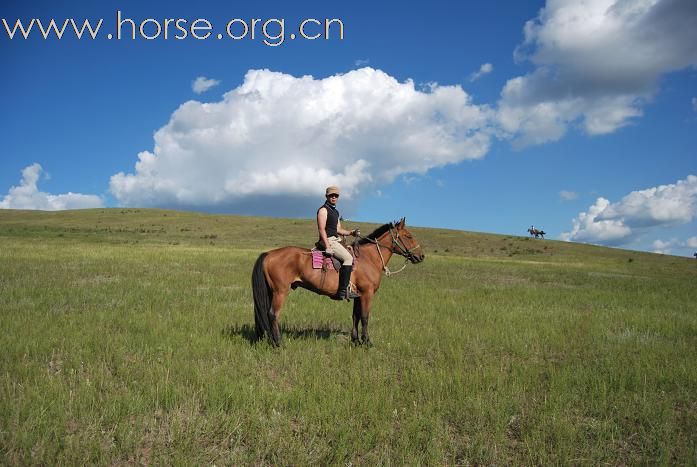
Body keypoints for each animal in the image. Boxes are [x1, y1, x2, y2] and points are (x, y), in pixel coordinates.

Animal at [251, 218, 424, 346]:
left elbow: (355, 316)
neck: (368, 258)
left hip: (271, 291)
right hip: (280, 291)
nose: (421, 256)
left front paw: (355, 341)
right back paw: (278, 343)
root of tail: (269, 254)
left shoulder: (358, 295)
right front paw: (367, 342)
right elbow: (365, 317)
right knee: (273, 314)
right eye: (408, 236)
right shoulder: (367, 294)